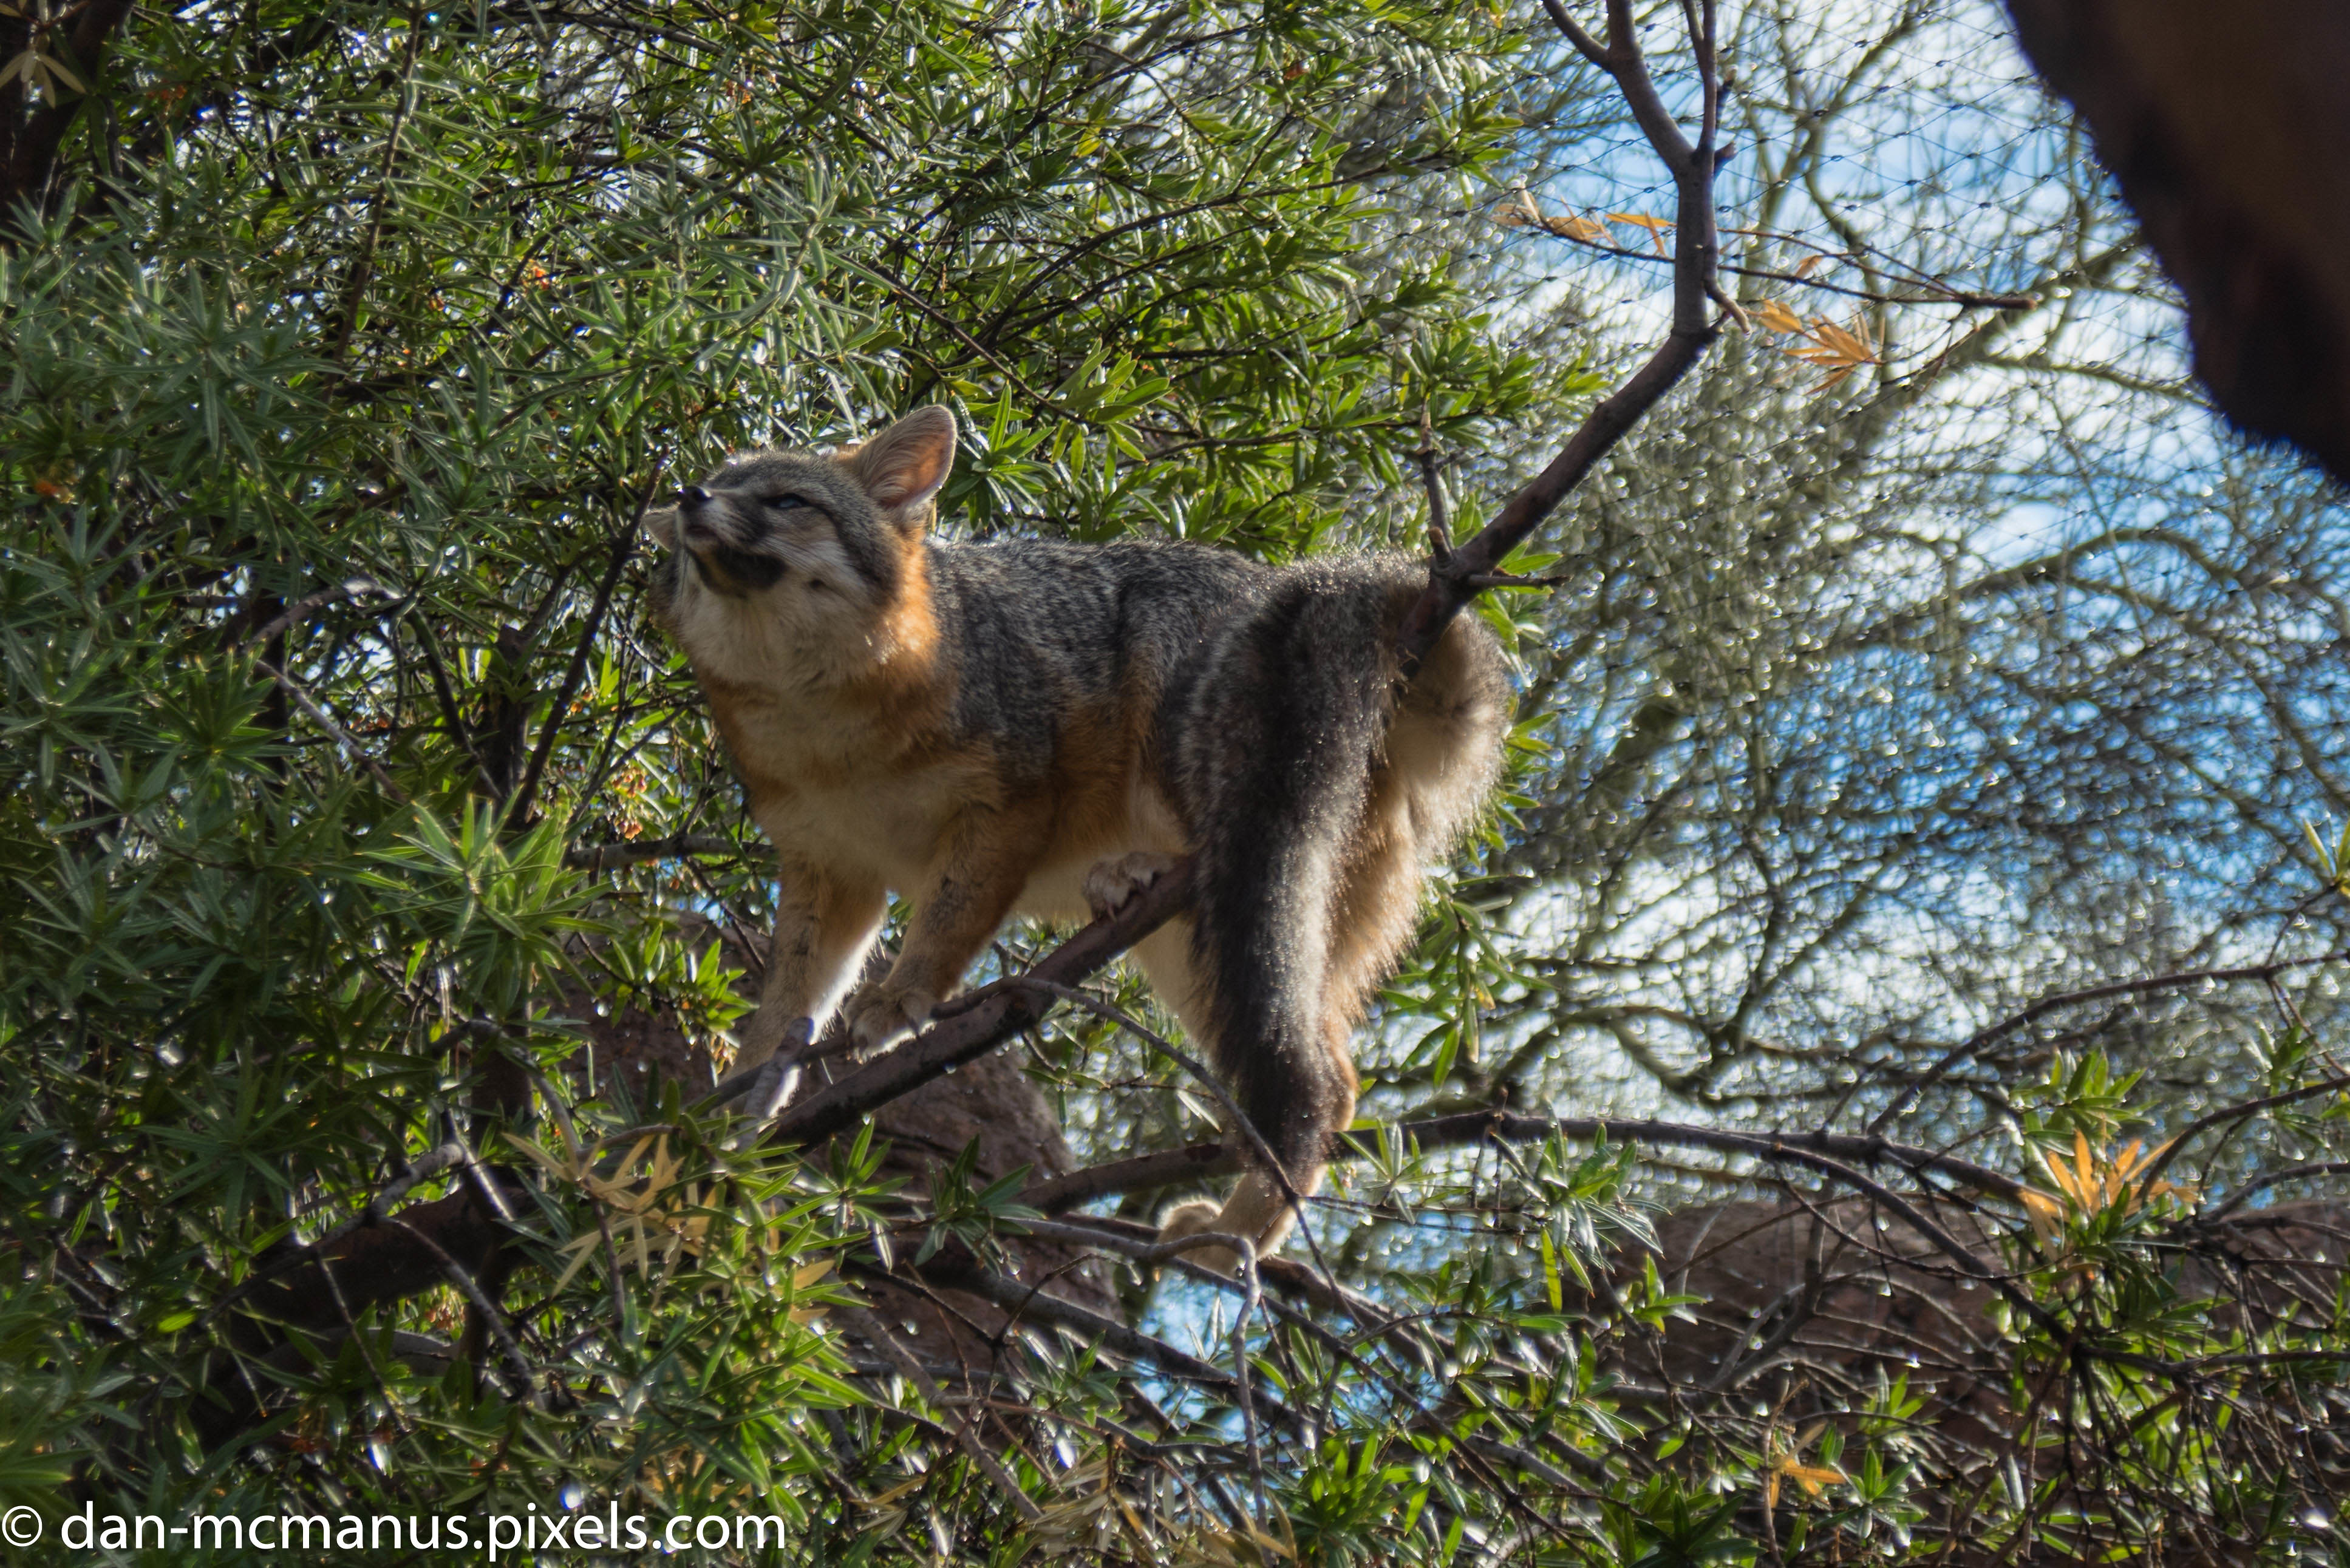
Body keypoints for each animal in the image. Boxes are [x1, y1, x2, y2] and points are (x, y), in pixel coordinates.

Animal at [644, 405, 1507, 1266]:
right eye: (713, 488)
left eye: (788, 501)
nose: (687, 497)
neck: (832, 741)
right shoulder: (832, 870)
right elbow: (788, 1004)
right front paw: (735, 1107)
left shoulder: (1011, 808)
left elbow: (948, 923)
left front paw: (900, 997)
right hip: (1223, 956)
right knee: (1334, 1086)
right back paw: (1236, 1234)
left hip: (1192, 727)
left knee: (1314, 1077)